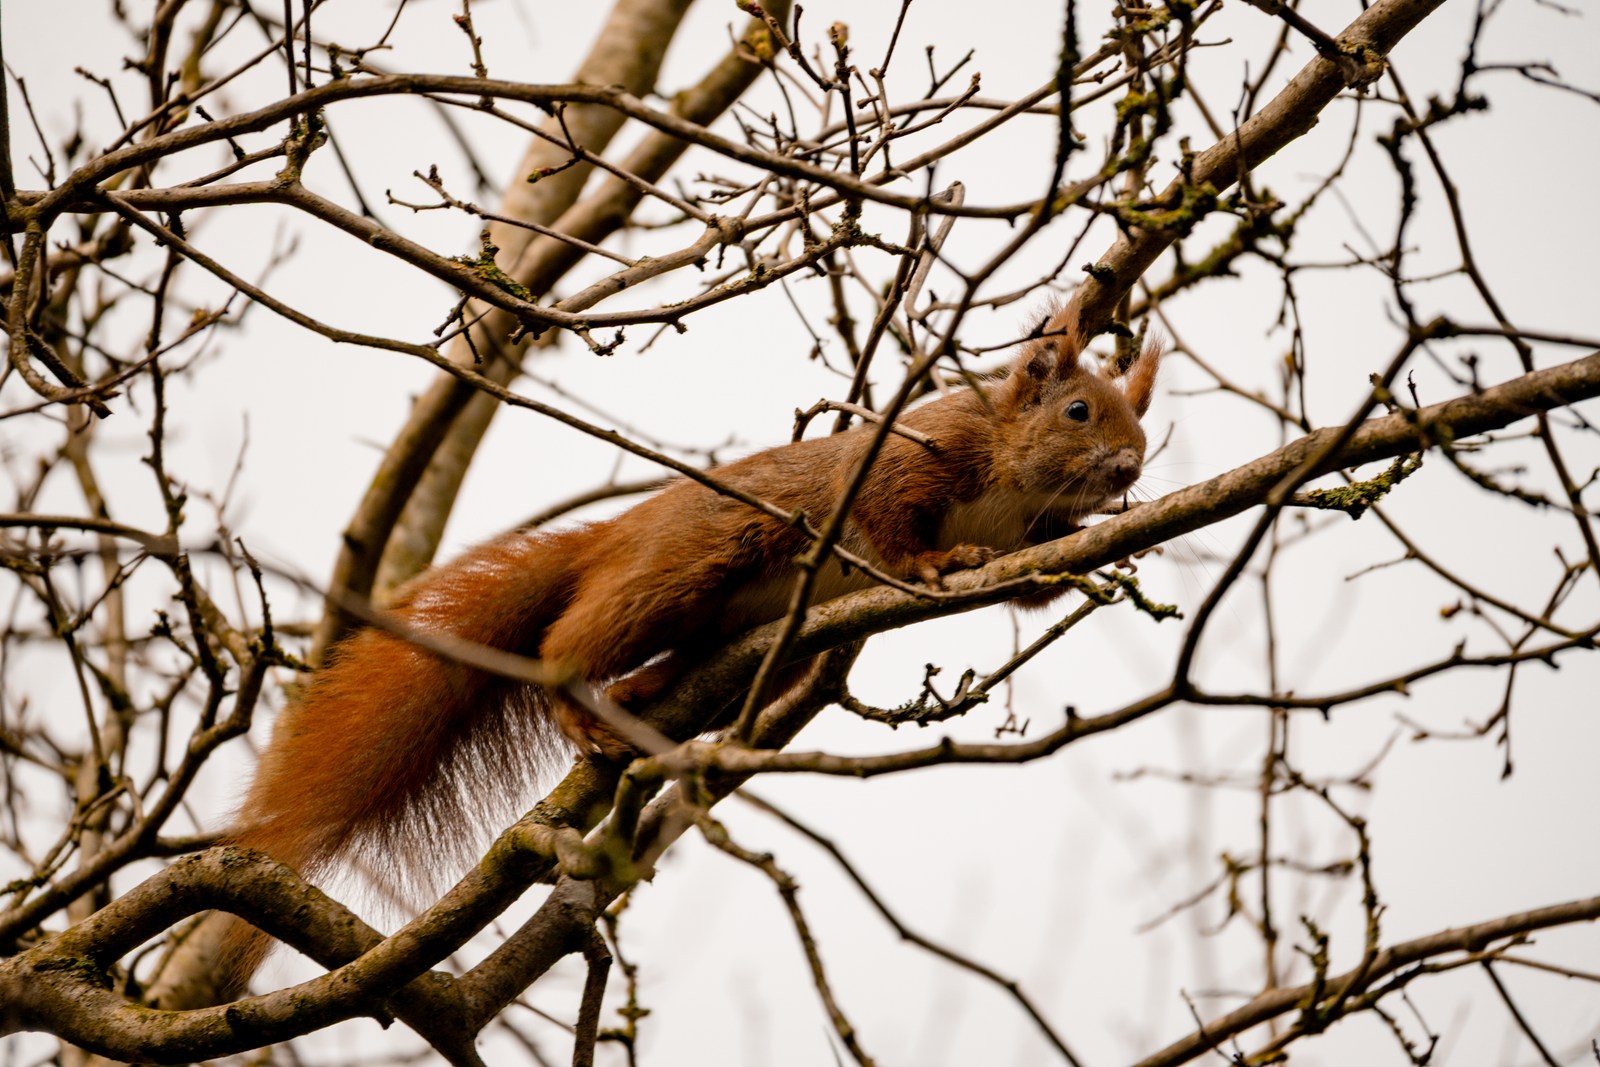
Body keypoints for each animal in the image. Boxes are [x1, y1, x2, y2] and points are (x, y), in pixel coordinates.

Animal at [221, 305, 1160, 984]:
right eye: (1079, 410)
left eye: (1142, 420)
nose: (1129, 465)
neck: (1014, 479)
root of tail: (614, 536)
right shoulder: (909, 461)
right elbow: (891, 524)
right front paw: (932, 561)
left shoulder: (1023, 534)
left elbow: (1030, 579)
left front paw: (1100, 551)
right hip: (680, 570)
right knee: (569, 639)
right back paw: (580, 701)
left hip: (745, 646)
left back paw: (636, 699)